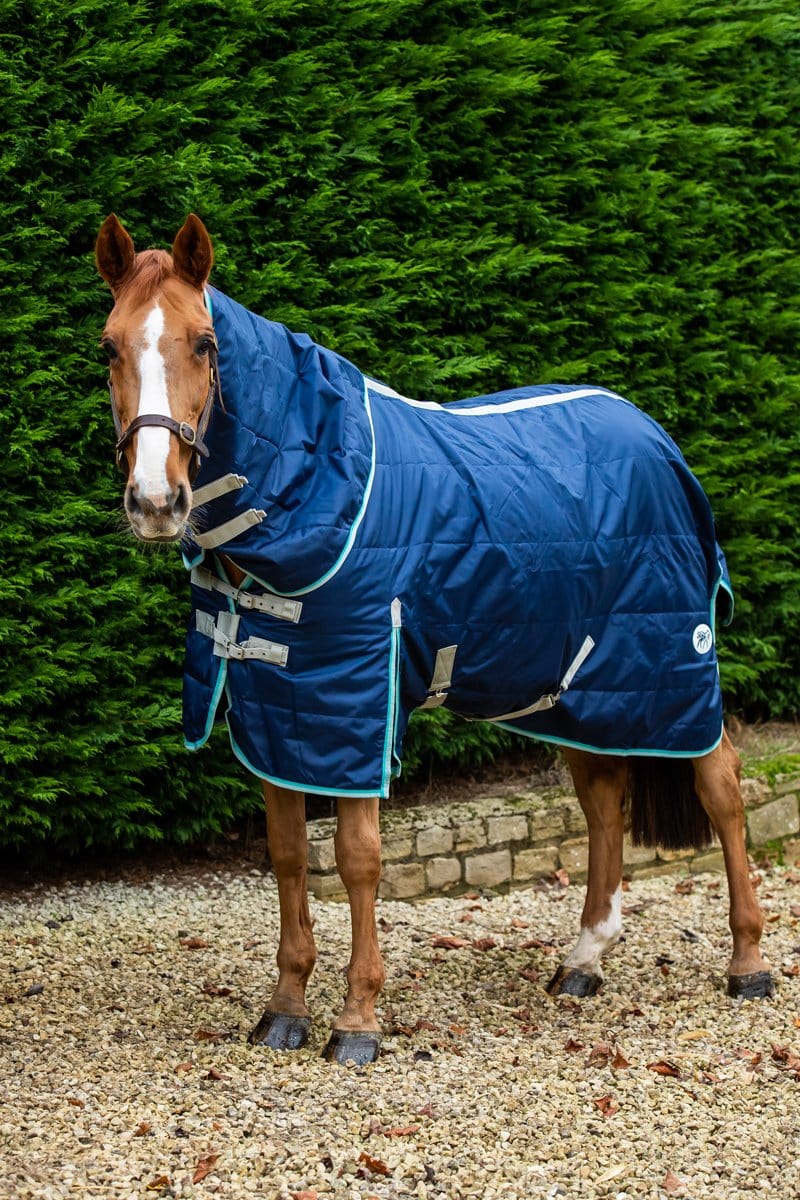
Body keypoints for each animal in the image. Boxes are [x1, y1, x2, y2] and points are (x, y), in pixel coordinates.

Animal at [95, 213, 773, 1066]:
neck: (316, 486)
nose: (156, 501)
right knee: (603, 797)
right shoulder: (280, 704)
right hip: (575, 688)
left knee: (720, 786)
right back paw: (583, 961)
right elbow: (287, 855)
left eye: (205, 343)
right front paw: (284, 1011)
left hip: (675, 667)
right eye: (109, 347)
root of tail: (658, 439)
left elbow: (357, 860)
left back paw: (748, 964)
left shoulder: (355, 693)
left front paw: (357, 1020)